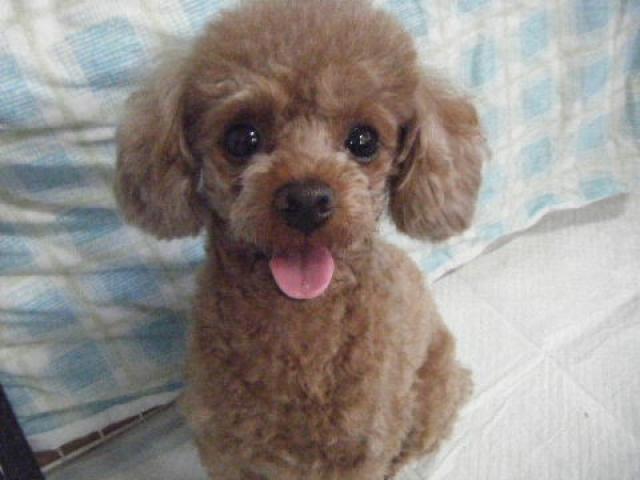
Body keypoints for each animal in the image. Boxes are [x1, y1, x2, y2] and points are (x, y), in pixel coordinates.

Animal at [114, 0, 486, 478]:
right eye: (242, 137)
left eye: (363, 139)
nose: (307, 201)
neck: (300, 328)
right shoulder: (225, 451)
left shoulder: (360, 452)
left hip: (430, 396)